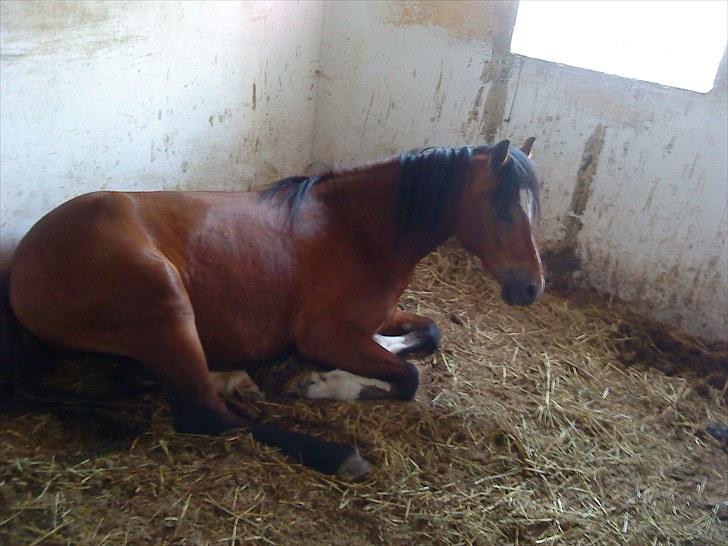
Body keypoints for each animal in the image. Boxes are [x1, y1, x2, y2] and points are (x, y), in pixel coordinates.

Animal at [0, 138, 544, 478]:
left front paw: (367, 357)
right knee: (203, 414)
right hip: (164, 300)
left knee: (136, 379)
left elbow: (429, 333)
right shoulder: (325, 334)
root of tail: (24, 259)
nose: (533, 287)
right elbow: (408, 380)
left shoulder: (381, 315)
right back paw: (335, 453)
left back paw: (235, 379)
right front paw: (326, 383)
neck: (356, 230)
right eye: (503, 210)